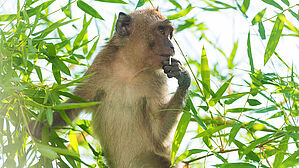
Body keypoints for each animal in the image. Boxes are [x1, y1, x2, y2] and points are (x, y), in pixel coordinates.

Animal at [30, 8, 192, 168]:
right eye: (161, 30)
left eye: (170, 34)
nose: (172, 46)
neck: (129, 69)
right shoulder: (100, 67)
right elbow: (74, 104)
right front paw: (39, 125)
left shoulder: (158, 79)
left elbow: (158, 134)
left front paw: (182, 76)